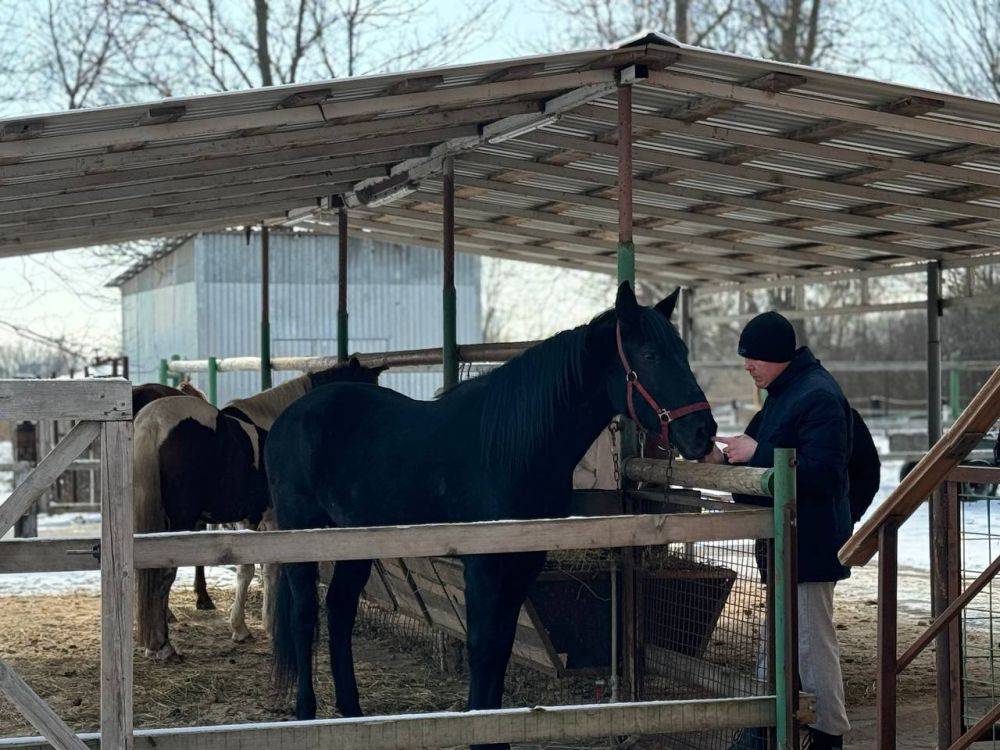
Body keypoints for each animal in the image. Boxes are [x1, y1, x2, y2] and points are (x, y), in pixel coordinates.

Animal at [133, 362, 382, 660]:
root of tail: (154, 422)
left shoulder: (248, 521)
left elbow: (246, 570)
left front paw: (240, 628)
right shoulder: (274, 522)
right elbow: (273, 568)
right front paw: (273, 627)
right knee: (162, 574)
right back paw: (163, 646)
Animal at [268, 282, 720, 748]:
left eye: (683, 352)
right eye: (649, 356)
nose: (703, 432)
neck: (510, 448)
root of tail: (289, 417)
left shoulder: (523, 564)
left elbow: (501, 647)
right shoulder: (483, 565)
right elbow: (483, 647)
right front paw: (479, 733)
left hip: (356, 540)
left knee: (340, 609)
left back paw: (352, 717)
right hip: (303, 532)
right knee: (305, 615)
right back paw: (306, 716)